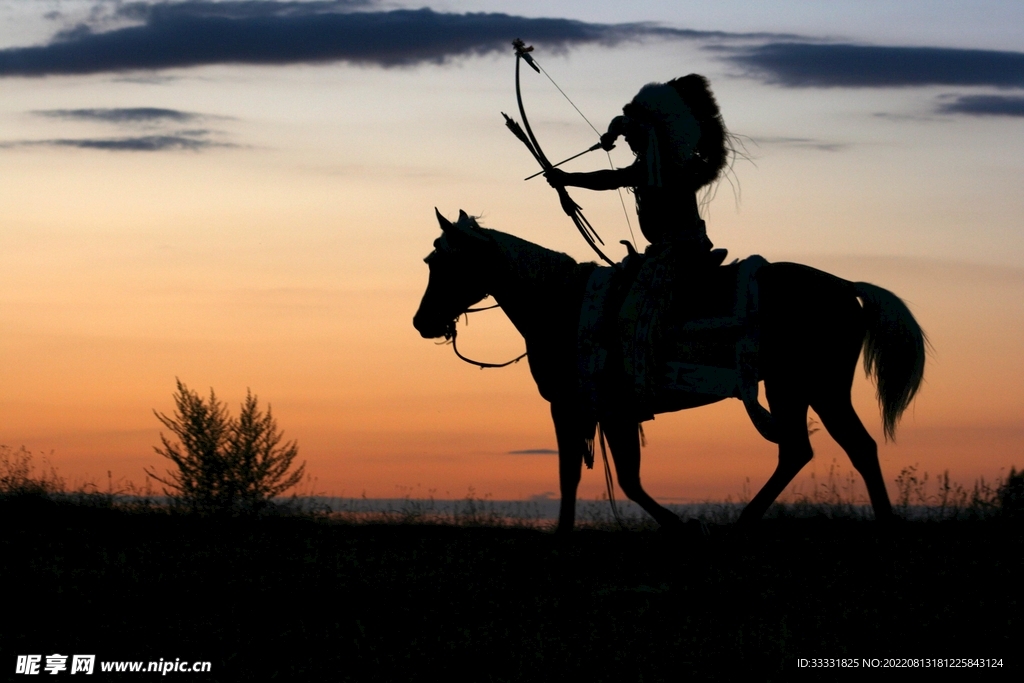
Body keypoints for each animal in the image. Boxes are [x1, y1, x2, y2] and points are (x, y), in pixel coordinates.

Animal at [413, 210, 927, 533]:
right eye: (430, 260)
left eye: (444, 262)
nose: (423, 322)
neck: (563, 304)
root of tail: (845, 286)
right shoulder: (599, 412)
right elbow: (600, 477)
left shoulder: (585, 408)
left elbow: (603, 477)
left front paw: (681, 524)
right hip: (803, 388)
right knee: (826, 449)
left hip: (808, 386)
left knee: (826, 448)